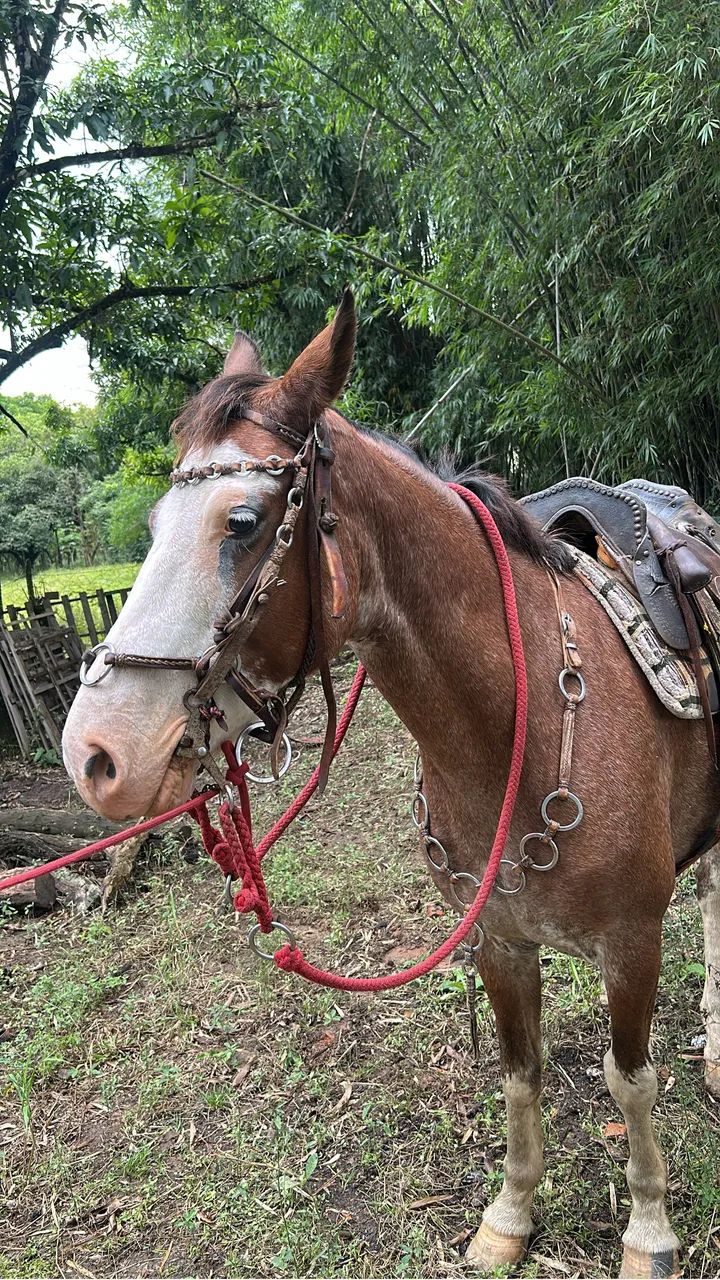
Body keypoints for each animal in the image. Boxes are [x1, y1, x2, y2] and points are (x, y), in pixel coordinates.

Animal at [62, 291, 720, 1278]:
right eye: (149, 530)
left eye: (243, 523)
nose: (96, 753)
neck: (519, 726)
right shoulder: (497, 939)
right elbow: (521, 1074)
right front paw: (509, 1217)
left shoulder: (633, 940)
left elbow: (629, 1079)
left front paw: (648, 1229)